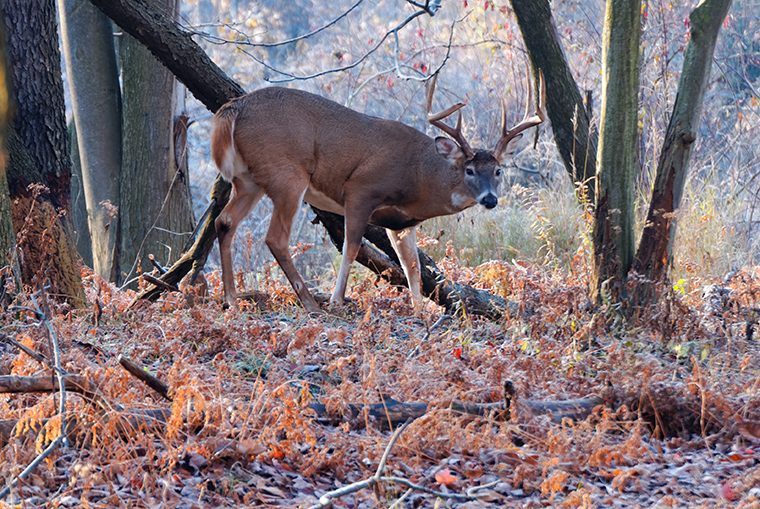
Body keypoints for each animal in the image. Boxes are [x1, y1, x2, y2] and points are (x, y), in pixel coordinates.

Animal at [212, 69, 548, 312]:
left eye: (498, 171)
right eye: (469, 170)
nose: (490, 199)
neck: (418, 177)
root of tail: (233, 107)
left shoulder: (401, 223)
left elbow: (413, 267)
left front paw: (419, 312)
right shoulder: (361, 190)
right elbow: (351, 248)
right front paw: (337, 301)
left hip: (248, 180)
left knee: (224, 221)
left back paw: (232, 302)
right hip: (287, 175)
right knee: (275, 238)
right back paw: (312, 305)